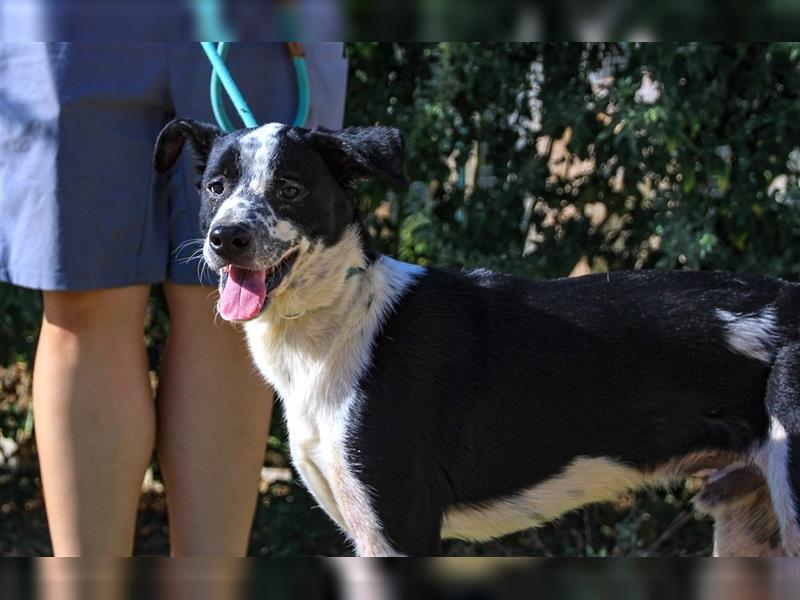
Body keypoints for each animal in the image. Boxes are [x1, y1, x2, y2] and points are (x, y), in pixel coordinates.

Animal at [155, 120, 800, 556]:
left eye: (289, 188)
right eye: (215, 186)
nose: (225, 239)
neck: (338, 325)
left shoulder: (400, 532)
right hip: (749, 527)